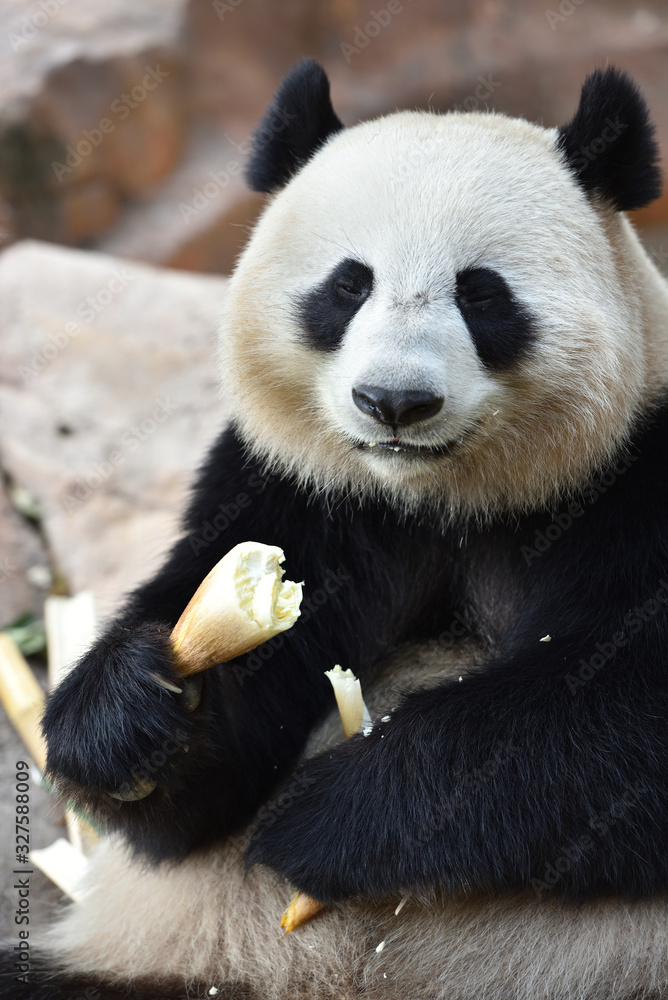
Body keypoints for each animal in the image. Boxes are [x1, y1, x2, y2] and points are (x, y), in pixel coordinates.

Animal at [7, 59, 668, 1000]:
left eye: (482, 293)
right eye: (348, 285)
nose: (395, 401)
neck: (439, 495)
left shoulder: (635, 476)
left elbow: (622, 717)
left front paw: (332, 817)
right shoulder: (302, 492)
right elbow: (206, 790)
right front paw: (126, 716)